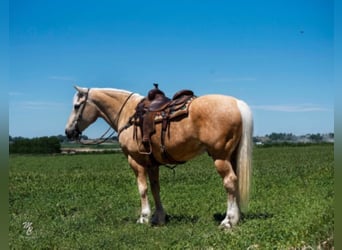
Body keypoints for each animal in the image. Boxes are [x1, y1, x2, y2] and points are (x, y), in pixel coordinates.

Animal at [65, 85, 254, 229]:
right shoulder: (152, 164)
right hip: (231, 156)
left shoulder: (136, 161)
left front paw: (144, 217)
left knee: (230, 182)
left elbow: (142, 189)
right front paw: (159, 217)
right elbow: (156, 188)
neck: (128, 113)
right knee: (236, 182)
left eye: (76, 106)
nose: (68, 132)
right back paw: (236, 217)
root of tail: (237, 103)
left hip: (220, 157)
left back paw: (228, 221)